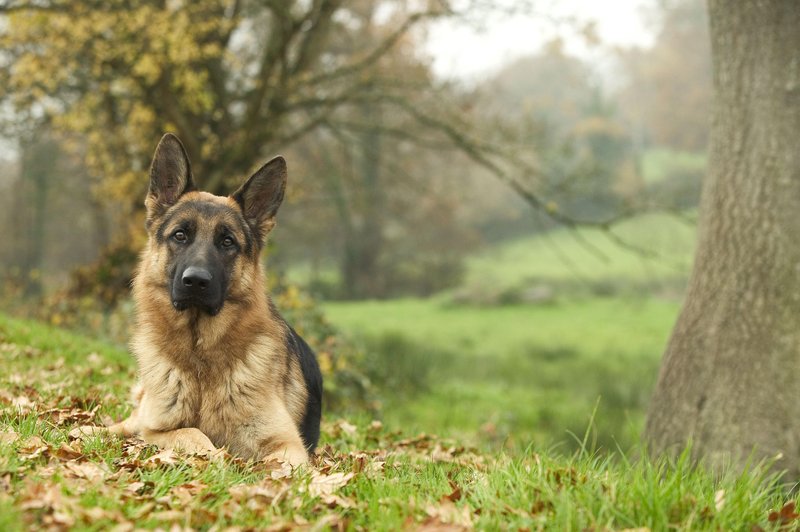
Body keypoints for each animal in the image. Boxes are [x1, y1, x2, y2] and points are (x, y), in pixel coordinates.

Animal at [86, 134, 322, 466]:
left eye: (227, 241)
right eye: (180, 235)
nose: (196, 281)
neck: (200, 357)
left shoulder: (287, 444)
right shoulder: (156, 431)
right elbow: (192, 433)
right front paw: (215, 459)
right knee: (122, 425)